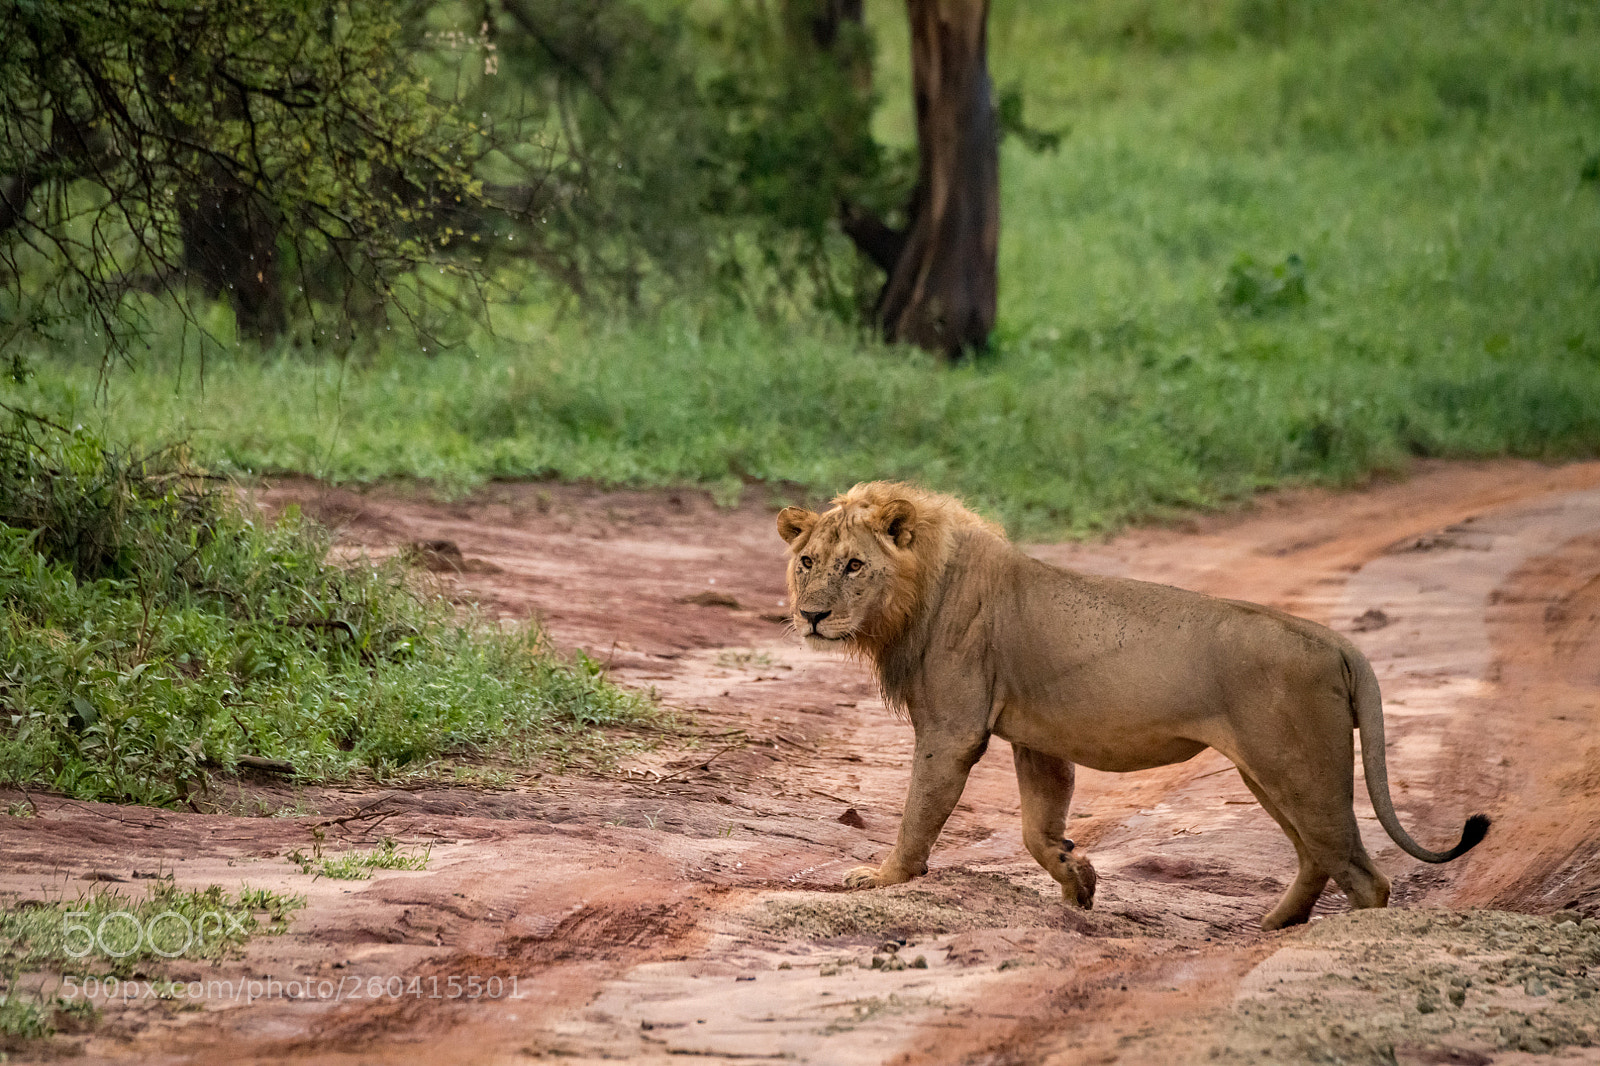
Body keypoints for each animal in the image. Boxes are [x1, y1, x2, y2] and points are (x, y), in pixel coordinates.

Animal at [777, 481, 1489, 930]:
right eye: (806, 561)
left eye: (852, 566)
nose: (810, 616)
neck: (916, 594)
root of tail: (1335, 639)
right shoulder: (1036, 738)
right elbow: (1038, 828)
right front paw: (1078, 878)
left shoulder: (952, 730)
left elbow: (919, 813)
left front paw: (883, 877)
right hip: (1270, 773)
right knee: (1318, 856)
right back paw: (1272, 925)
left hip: (1300, 770)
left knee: (1364, 875)